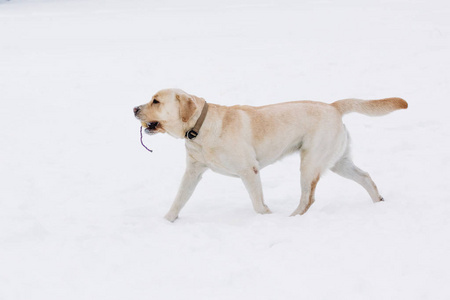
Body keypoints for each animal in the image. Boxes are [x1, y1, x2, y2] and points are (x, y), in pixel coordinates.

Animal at [134, 88, 408, 221]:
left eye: (156, 101)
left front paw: (267, 217)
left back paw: (291, 219)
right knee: (365, 176)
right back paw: (378, 201)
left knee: (308, 199)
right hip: (337, 162)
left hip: (310, 163)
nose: (134, 108)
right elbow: (178, 201)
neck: (200, 129)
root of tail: (333, 106)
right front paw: (166, 221)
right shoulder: (192, 172)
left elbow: (257, 204)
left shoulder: (249, 170)